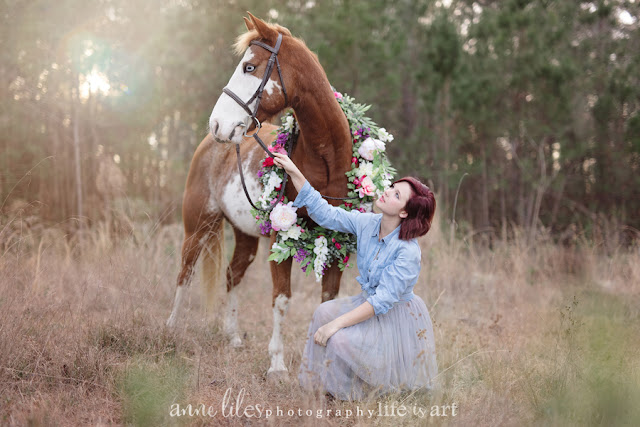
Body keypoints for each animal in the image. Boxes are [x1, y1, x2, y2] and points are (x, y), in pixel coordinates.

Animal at [165, 11, 352, 376]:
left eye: (249, 67)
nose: (218, 124)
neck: (326, 161)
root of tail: (207, 144)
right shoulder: (282, 239)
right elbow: (281, 298)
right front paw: (277, 365)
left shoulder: (337, 243)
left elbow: (329, 301)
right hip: (197, 228)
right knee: (184, 273)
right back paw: (171, 329)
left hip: (245, 236)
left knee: (231, 275)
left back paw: (233, 336)